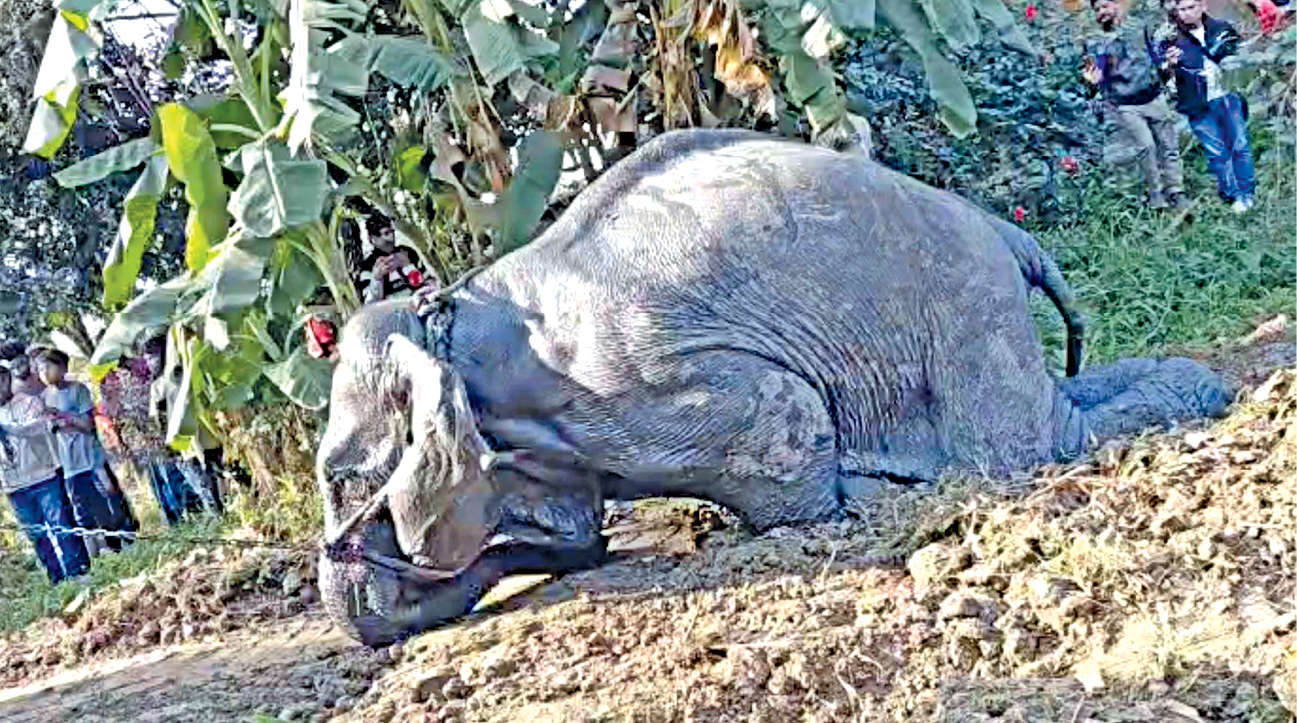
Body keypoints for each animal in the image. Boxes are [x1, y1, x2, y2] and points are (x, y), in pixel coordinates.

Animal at [315, 129, 1230, 646]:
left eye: (339, 478)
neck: (458, 309)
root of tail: (1008, 234)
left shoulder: (628, 387)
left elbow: (779, 422)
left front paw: (850, 500)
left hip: (964, 305)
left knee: (1021, 446)